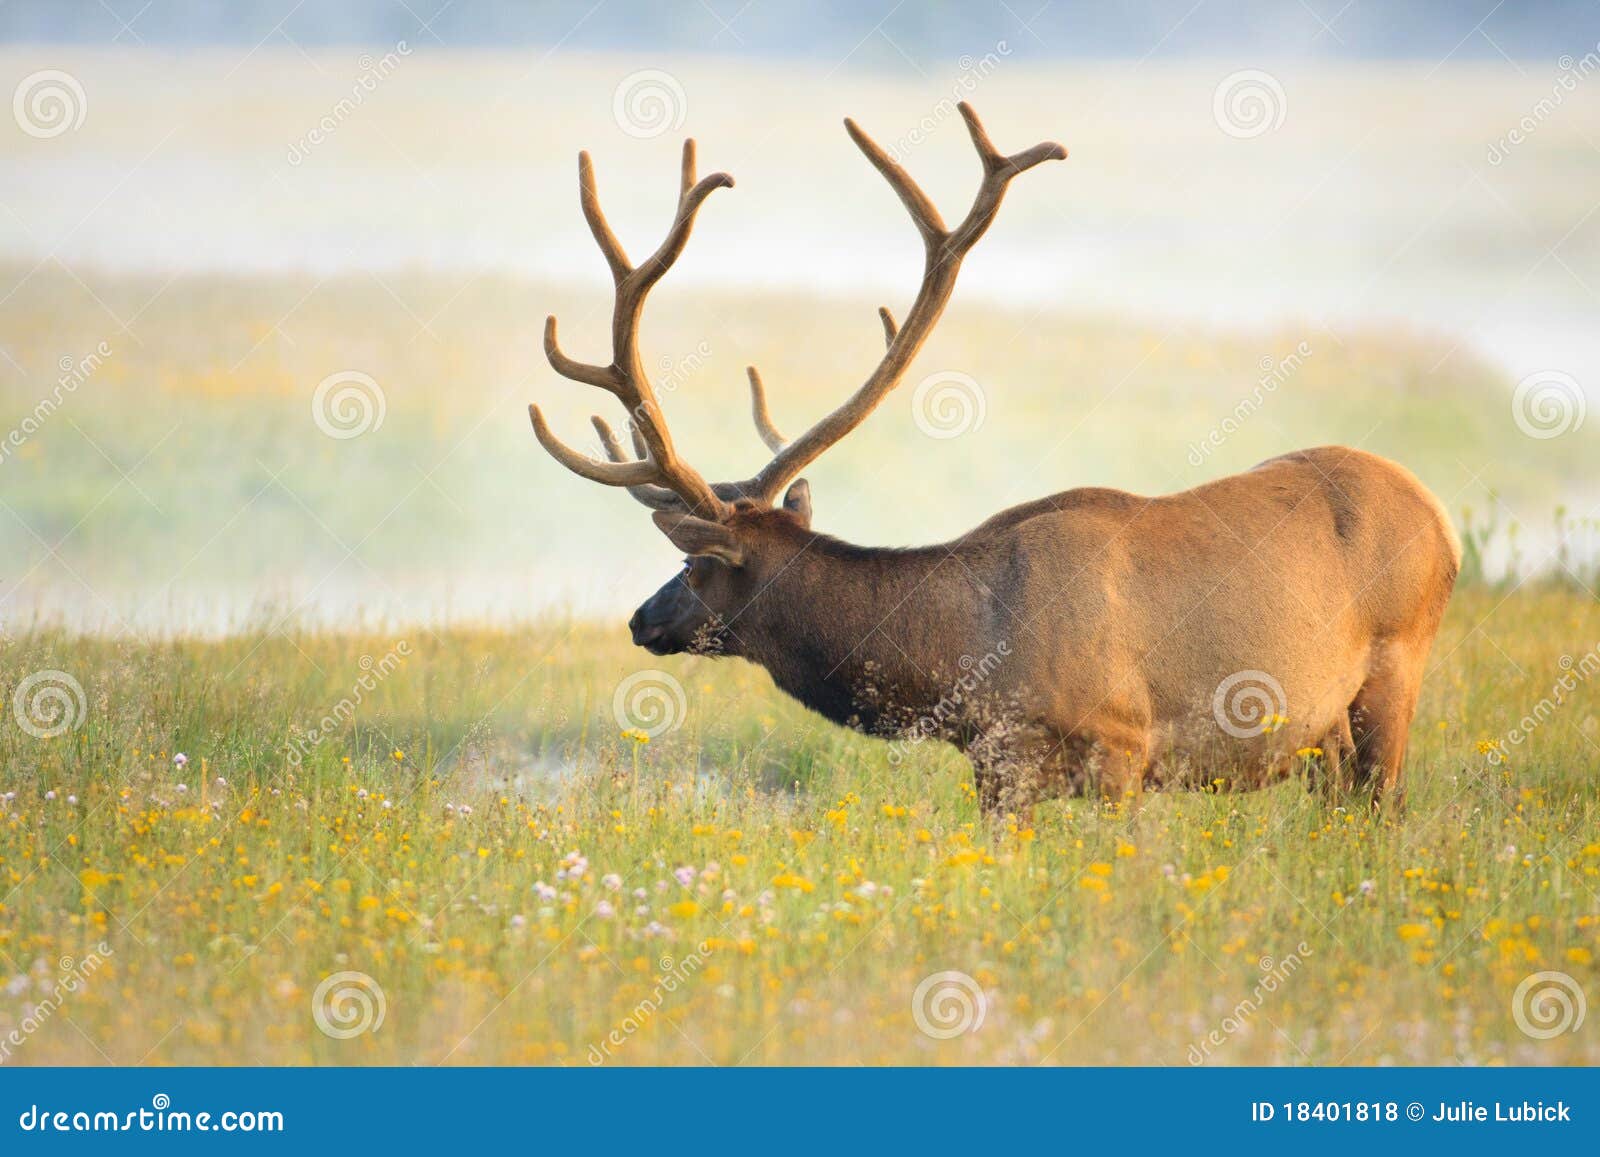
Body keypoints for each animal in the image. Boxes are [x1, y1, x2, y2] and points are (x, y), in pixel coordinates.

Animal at [526, 103, 1461, 816]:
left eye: (691, 563)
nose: (641, 618)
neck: (959, 653)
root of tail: (1444, 520)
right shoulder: (996, 764)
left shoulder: (1122, 746)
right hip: (1325, 741)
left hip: (1394, 672)